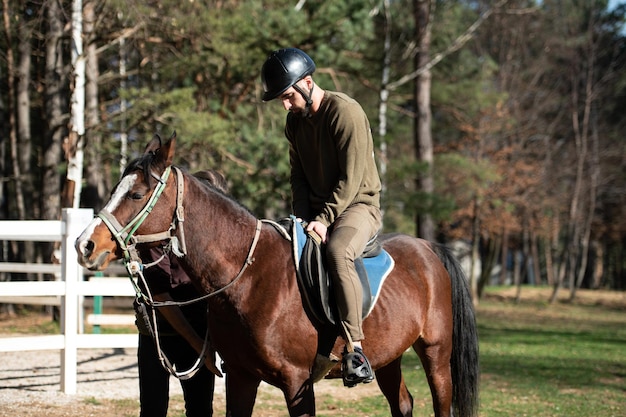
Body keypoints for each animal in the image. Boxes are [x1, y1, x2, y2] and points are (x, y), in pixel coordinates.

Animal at [74, 133, 478, 416]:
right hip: (389, 357)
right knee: (403, 404)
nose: (85, 244)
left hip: (436, 355)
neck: (249, 278)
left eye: (136, 194)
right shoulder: (241, 378)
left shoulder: (298, 383)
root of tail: (428, 249)